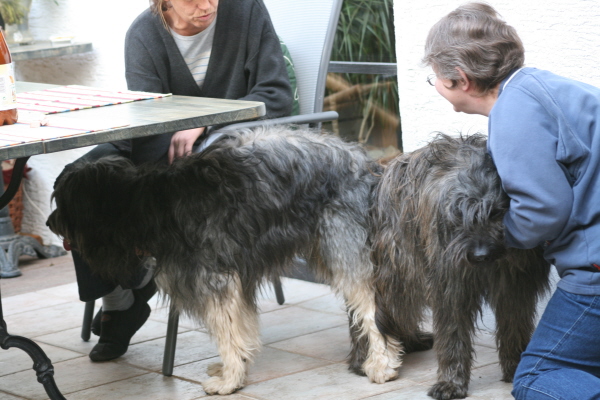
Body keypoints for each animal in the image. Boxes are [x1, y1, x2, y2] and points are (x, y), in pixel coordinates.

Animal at [47, 126, 404, 396]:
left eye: (62, 202)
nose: (49, 223)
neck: (147, 203)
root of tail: (367, 163)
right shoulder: (233, 275)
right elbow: (240, 326)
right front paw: (235, 367)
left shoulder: (213, 277)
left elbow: (226, 330)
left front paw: (229, 379)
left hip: (342, 243)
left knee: (371, 306)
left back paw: (381, 365)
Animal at [372, 134, 552, 400]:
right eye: (458, 215)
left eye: (497, 212)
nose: (480, 255)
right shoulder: (451, 284)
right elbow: (452, 332)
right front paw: (451, 382)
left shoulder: (514, 284)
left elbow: (514, 323)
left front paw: (514, 367)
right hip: (400, 269)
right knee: (385, 310)